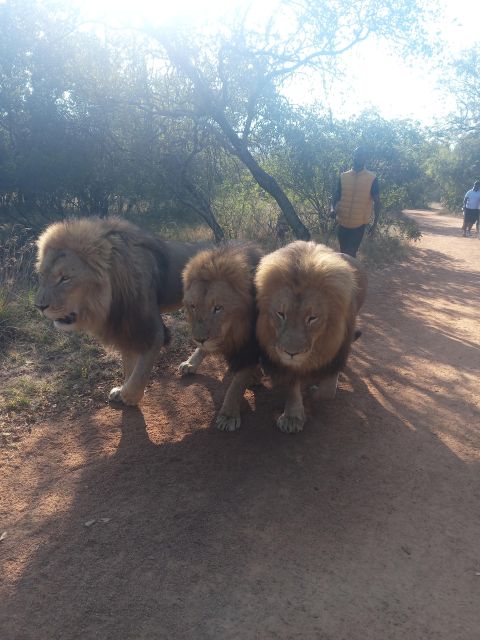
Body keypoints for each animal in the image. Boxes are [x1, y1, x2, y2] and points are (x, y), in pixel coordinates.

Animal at [35, 218, 208, 402]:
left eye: (65, 278)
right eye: (42, 276)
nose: (39, 306)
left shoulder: (152, 331)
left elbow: (139, 373)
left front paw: (130, 396)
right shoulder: (124, 327)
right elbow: (129, 365)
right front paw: (121, 389)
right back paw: (190, 365)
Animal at [179, 242, 262, 432]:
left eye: (218, 308)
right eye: (193, 306)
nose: (200, 339)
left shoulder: (249, 348)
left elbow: (237, 384)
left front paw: (228, 415)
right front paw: (191, 362)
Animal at [255, 241, 368, 436]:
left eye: (312, 318)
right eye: (281, 314)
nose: (291, 353)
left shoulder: (337, 350)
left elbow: (327, 392)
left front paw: (315, 390)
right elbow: (293, 384)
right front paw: (292, 417)